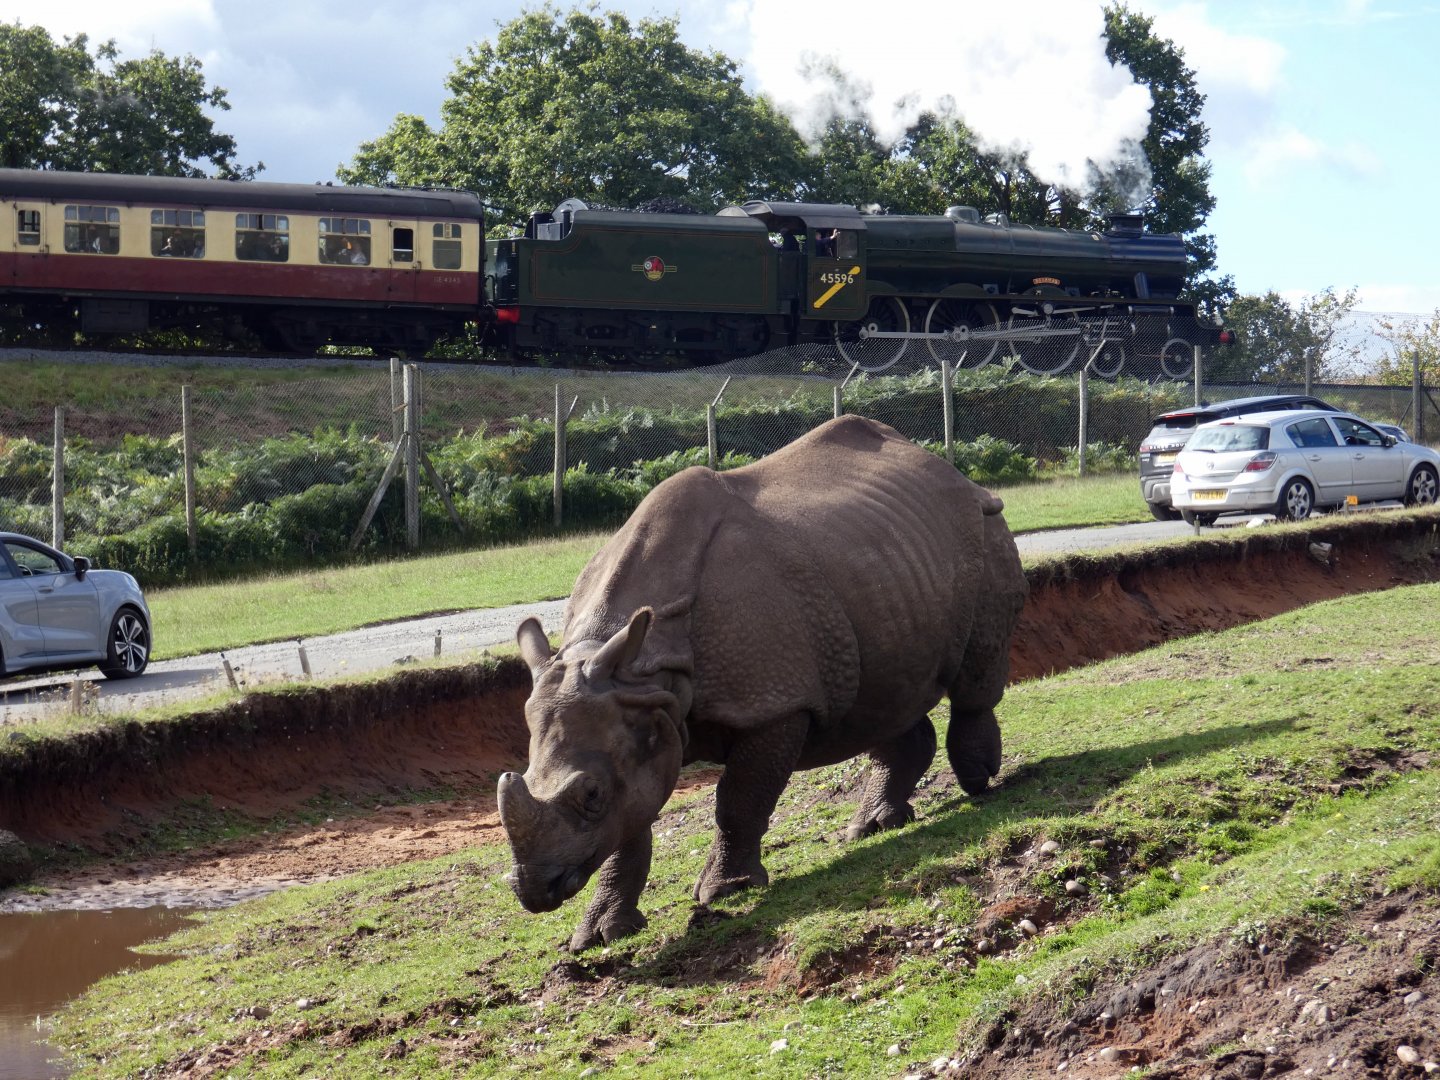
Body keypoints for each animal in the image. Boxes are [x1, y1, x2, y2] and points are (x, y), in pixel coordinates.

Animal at [500, 414, 1026, 951]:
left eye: (590, 795)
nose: (535, 890)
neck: (643, 665)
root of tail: (948, 469)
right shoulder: (639, 713)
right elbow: (631, 821)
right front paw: (598, 934)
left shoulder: (774, 704)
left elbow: (739, 798)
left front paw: (725, 891)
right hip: (884, 560)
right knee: (885, 695)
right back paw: (873, 826)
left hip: (982, 525)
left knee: (973, 670)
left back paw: (978, 780)